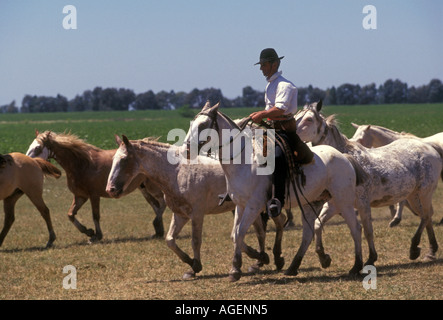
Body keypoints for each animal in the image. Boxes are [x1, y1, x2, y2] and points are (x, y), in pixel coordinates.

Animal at [26, 131, 168, 241]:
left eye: (37, 148)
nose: (27, 161)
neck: (82, 164)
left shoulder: (94, 196)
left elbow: (95, 216)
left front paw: (96, 236)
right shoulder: (80, 196)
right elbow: (71, 214)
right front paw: (88, 231)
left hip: (153, 188)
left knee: (162, 203)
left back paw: (157, 226)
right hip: (144, 189)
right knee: (156, 206)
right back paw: (158, 232)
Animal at [107, 134, 288, 278]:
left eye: (124, 160)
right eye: (113, 160)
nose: (110, 190)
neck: (177, 172)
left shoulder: (197, 214)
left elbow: (195, 240)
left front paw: (196, 266)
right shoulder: (180, 215)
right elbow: (170, 240)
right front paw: (190, 264)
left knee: (278, 223)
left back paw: (277, 258)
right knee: (261, 231)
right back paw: (261, 260)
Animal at [183, 101, 368, 282]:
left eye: (204, 125)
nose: (186, 150)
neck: (244, 162)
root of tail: (344, 157)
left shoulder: (254, 206)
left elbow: (240, 231)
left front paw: (236, 269)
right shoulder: (240, 205)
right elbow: (235, 234)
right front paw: (248, 261)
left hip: (343, 201)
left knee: (355, 228)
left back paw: (356, 266)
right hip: (312, 202)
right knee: (308, 233)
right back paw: (298, 266)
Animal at [294, 101, 443, 264]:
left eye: (309, 119)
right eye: (295, 115)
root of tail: (430, 148)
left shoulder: (363, 204)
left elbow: (367, 230)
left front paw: (371, 258)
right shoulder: (334, 205)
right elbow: (317, 225)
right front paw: (323, 257)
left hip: (424, 193)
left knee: (426, 216)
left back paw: (415, 248)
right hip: (413, 195)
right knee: (426, 216)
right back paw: (430, 250)